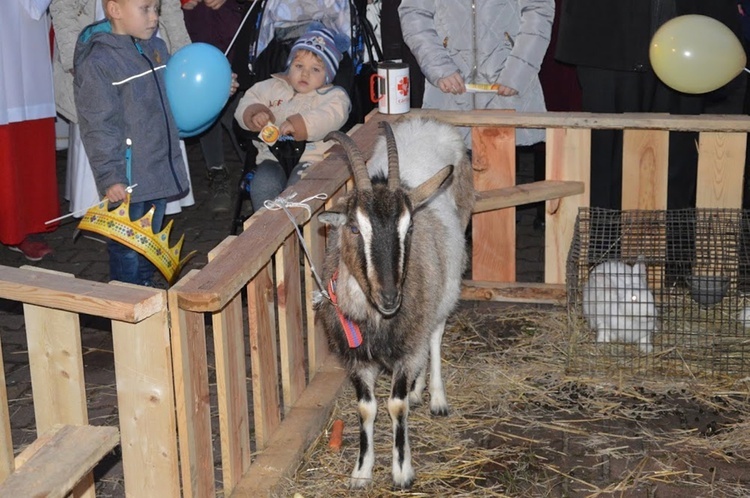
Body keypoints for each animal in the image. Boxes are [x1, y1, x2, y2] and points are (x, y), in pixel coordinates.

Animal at [318, 118, 476, 488]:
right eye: (353, 228)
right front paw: (361, 471)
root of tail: (426, 122)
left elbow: (396, 405)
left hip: (444, 284)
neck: (376, 319)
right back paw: (420, 391)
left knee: (435, 334)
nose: (390, 297)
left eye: (409, 226)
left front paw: (402, 471)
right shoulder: (357, 358)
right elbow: (367, 408)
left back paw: (436, 398)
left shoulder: (406, 347)